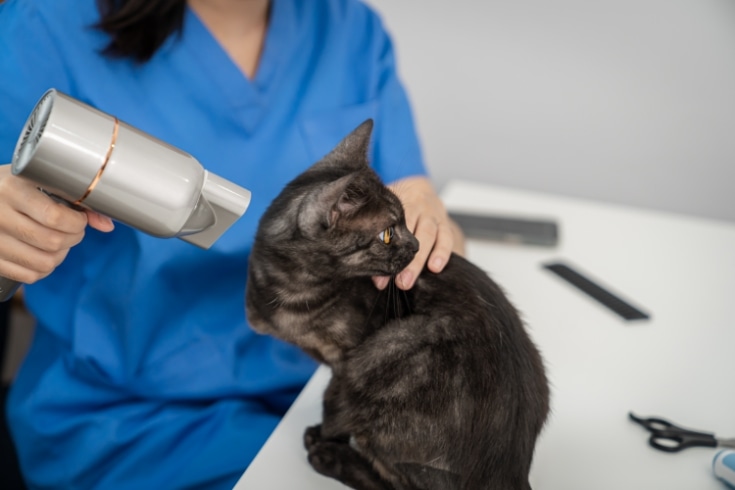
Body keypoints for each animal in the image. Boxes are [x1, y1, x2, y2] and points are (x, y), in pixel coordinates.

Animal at [247, 119, 552, 490]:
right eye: (387, 234)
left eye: (407, 221)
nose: (419, 244)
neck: (292, 290)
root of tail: (510, 470)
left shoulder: (346, 362)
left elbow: (333, 403)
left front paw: (325, 436)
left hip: (385, 351)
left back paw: (331, 457)